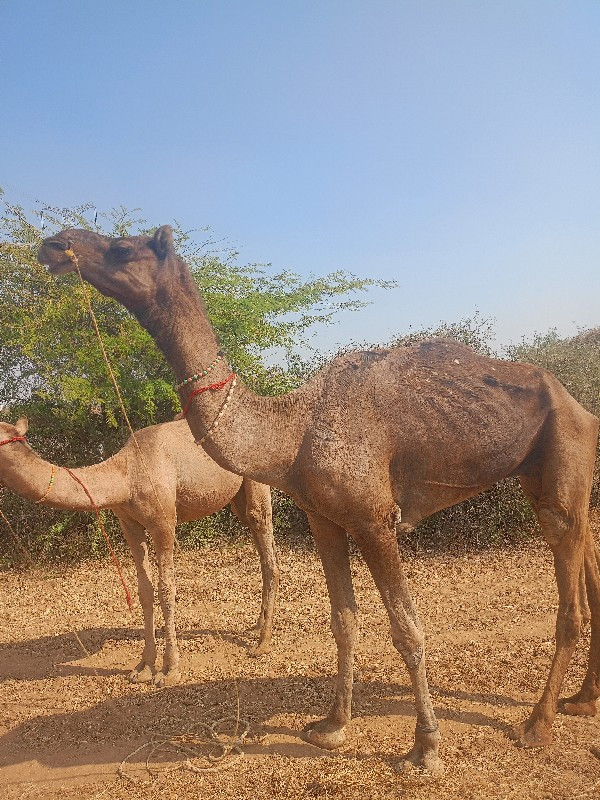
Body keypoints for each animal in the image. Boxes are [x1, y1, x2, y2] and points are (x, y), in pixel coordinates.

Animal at [0, 416, 280, 684]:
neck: (127, 476)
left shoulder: (164, 522)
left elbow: (166, 590)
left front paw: (170, 671)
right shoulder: (129, 524)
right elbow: (144, 590)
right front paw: (143, 667)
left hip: (254, 479)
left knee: (265, 541)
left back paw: (263, 643)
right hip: (236, 499)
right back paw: (257, 626)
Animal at [39, 225, 600, 776]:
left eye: (121, 248)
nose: (54, 244)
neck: (293, 432)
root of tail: (580, 406)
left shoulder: (374, 519)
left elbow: (407, 630)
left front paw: (425, 749)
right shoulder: (325, 519)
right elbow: (344, 621)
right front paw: (332, 725)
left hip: (562, 462)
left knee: (569, 600)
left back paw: (537, 724)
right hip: (544, 477)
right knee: (588, 551)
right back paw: (582, 699)